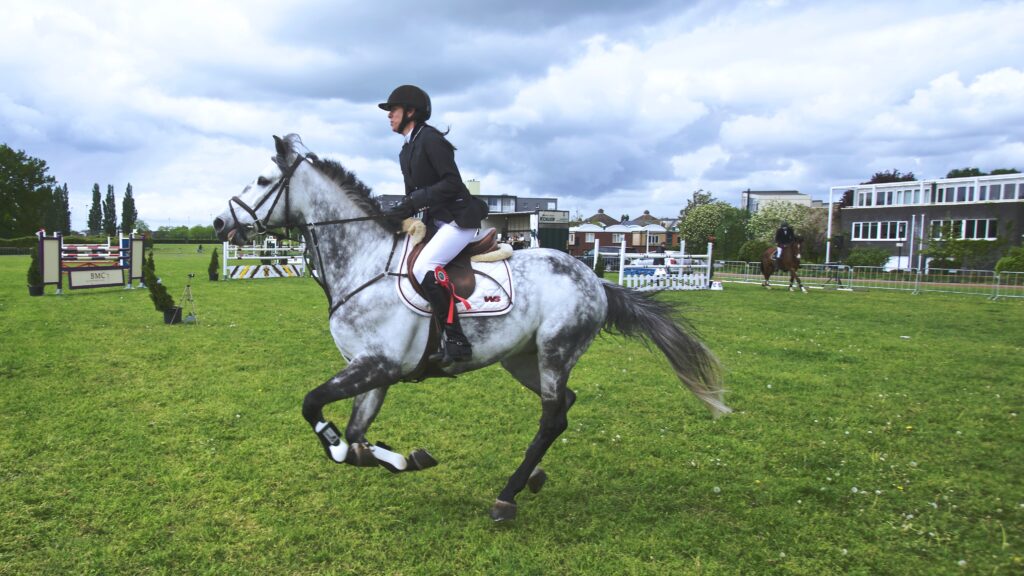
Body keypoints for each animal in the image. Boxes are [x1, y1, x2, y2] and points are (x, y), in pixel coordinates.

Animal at [214, 134, 729, 520]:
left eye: (263, 179)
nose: (220, 222)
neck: (364, 262)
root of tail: (595, 279)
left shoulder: (377, 365)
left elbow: (315, 409)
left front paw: (358, 450)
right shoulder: (374, 371)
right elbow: (358, 436)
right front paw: (402, 458)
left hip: (555, 350)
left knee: (551, 416)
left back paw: (507, 495)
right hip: (523, 359)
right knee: (563, 405)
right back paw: (531, 478)